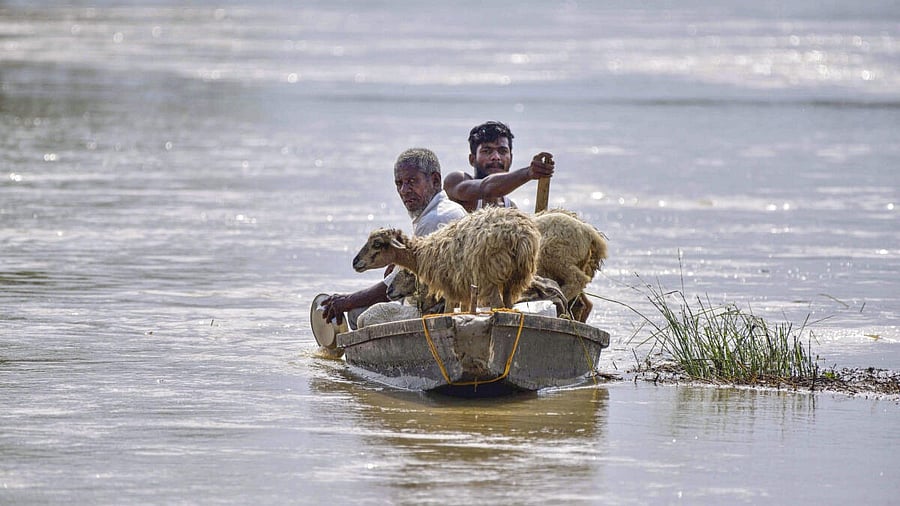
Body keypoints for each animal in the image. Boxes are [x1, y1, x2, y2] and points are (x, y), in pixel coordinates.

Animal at [352, 206, 540, 312]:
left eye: (377, 244)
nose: (355, 262)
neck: (421, 254)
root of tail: (519, 235)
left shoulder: (449, 287)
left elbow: (447, 312)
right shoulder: (463, 289)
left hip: (490, 276)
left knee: (498, 306)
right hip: (516, 277)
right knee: (509, 306)